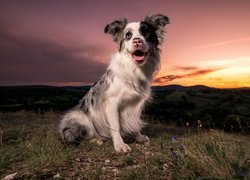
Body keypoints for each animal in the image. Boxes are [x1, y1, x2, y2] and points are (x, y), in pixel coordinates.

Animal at [58, 13, 169, 153]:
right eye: (128, 35)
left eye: (147, 32)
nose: (137, 41)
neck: (134, 68)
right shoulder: (112, 103)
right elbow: (115, 126)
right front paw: (120, 145)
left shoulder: (136, 104)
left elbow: (134, 122)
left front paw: (138, 136)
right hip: (78, 115)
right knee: (82, 134)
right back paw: (96, 140)